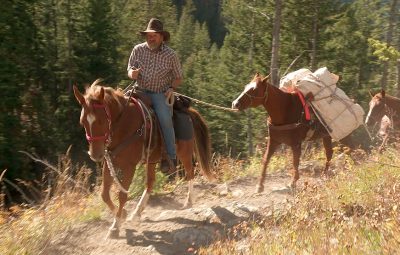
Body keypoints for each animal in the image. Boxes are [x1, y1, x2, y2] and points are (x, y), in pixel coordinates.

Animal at [73, 79, 214, 237]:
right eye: (82, 122)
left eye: (101, 121)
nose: (95, 154)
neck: (123, 124)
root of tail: (188, 111)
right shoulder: (109, 162)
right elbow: (104, 194)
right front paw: (123, 215)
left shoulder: (129, 166)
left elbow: (122, 195)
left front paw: (115, 226)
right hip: (151, 159)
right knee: (150, 183)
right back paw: (137, 212)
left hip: (184, 152)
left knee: (190, 172)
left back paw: (188, 201)